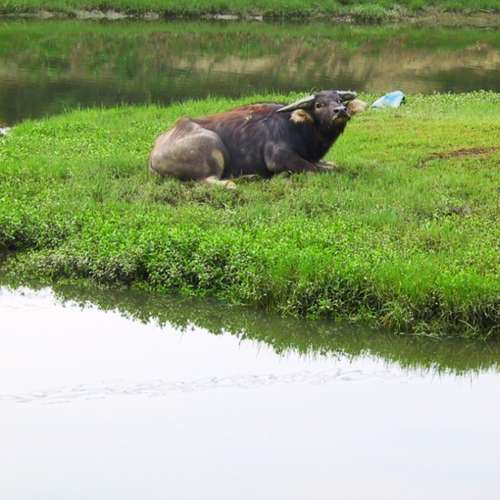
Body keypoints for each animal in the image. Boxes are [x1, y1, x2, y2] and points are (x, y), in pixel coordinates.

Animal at [149, 90, 366, 188]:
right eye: (319, 104)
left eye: (338, 100)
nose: (340, 111)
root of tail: (153, 155)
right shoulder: (279, 158)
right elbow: (318, 169)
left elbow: (332, 165)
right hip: (212, 144)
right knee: (207, 180)